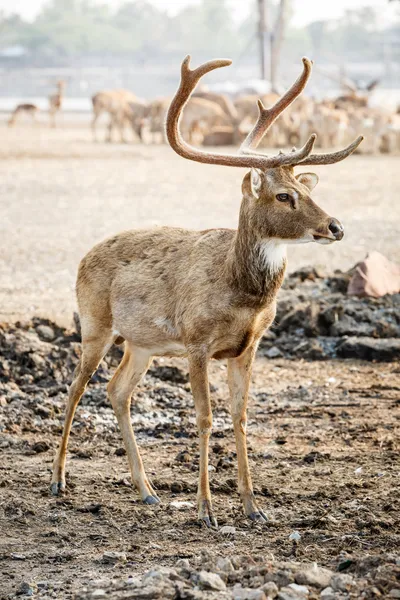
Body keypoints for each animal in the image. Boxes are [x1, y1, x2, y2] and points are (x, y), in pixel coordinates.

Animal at [50, 55, 362, 524]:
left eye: (305, 188)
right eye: (284, 196)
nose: (336, 227)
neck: (243, 295)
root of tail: (85, 256)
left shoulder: (249, 346)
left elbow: (241, 416)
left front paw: (253, 506)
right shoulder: (196, 342)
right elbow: (204, 418)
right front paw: (206, 508)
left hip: (141, 343)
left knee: (117, 391)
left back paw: (148, 491)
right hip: (94, 322)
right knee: (75, 387)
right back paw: (58, 481)